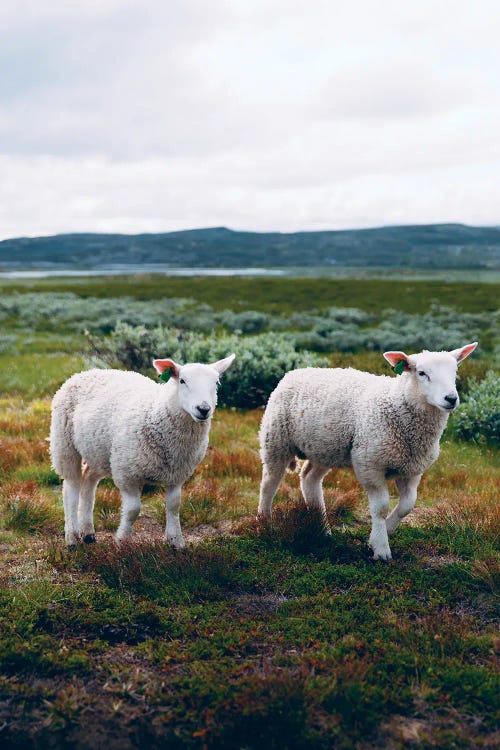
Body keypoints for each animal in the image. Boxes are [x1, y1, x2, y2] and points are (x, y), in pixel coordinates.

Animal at [51, 356, 235, 548]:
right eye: (182, 381)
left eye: (216, 383)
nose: (203, 409)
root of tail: (87, 372)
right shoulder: (126, 473)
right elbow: (133, 510)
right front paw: (122, 541)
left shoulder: (177, 475)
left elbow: (174, 506)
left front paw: (176, 542)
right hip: (65, 444)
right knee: (71, 488)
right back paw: (72, 537)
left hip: (99, 452)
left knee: (88, 481)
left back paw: (88, 533)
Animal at [258, 344, 476, 560]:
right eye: (422, 373)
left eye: (455, 373)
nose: (451, 398)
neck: (396, 404)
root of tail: (296, 371)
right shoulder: (370, 464)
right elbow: (380, 508)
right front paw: (381, 548)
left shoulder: (411, 469)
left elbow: (407, 505)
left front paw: (385, 531)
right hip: (276, 440)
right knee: (269, 483)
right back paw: (264, 524)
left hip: (324, 448)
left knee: (309, 479)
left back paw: (322, 529)